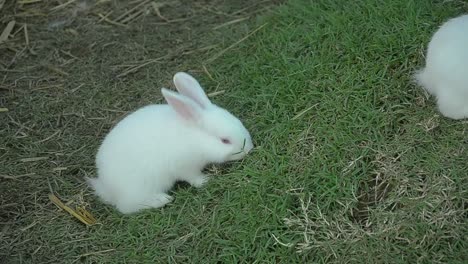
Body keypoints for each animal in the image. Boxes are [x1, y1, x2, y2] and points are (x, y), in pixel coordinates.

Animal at [86, 72, 254, 214]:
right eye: (224, 140)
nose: (249, 149)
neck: (196, 138)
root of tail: (105, 184)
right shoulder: (184, 166)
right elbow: (193, 178)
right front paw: (206, 180)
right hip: (140, 186)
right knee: (126, 207)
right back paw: (161, 200)